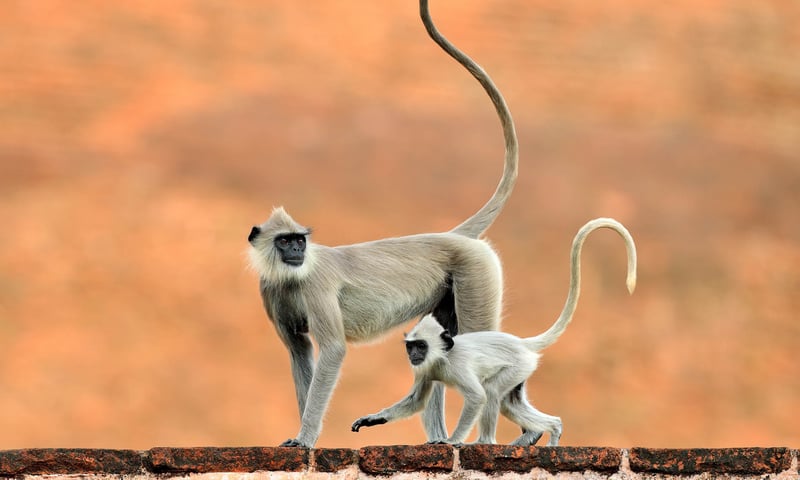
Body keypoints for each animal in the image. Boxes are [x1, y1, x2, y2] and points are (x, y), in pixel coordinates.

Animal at [247, 0, 519, 447]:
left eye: (300, 240)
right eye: (285, 241)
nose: (297, 250)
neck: (292, 277)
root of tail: (450, 236)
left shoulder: (315, 285)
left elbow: (332, 351)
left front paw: (305, 438)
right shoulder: (271, 292)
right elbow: (299, 352)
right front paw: (302, 434)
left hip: (477, 272)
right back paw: (437, 439)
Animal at [351, 218, 637, 446]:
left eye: (421, 346)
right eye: (411, 346)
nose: (413, 355)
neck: (443, 356)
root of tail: (521, 344)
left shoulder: (457, 367)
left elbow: (477, 397)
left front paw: (451, 441)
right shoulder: (426, 369)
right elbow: (416, 400)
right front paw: (372, 419)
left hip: (517, 366)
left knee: (490, 392)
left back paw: (484, 442)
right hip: (521, 373)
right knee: (510, 404)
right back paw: (553, 429)